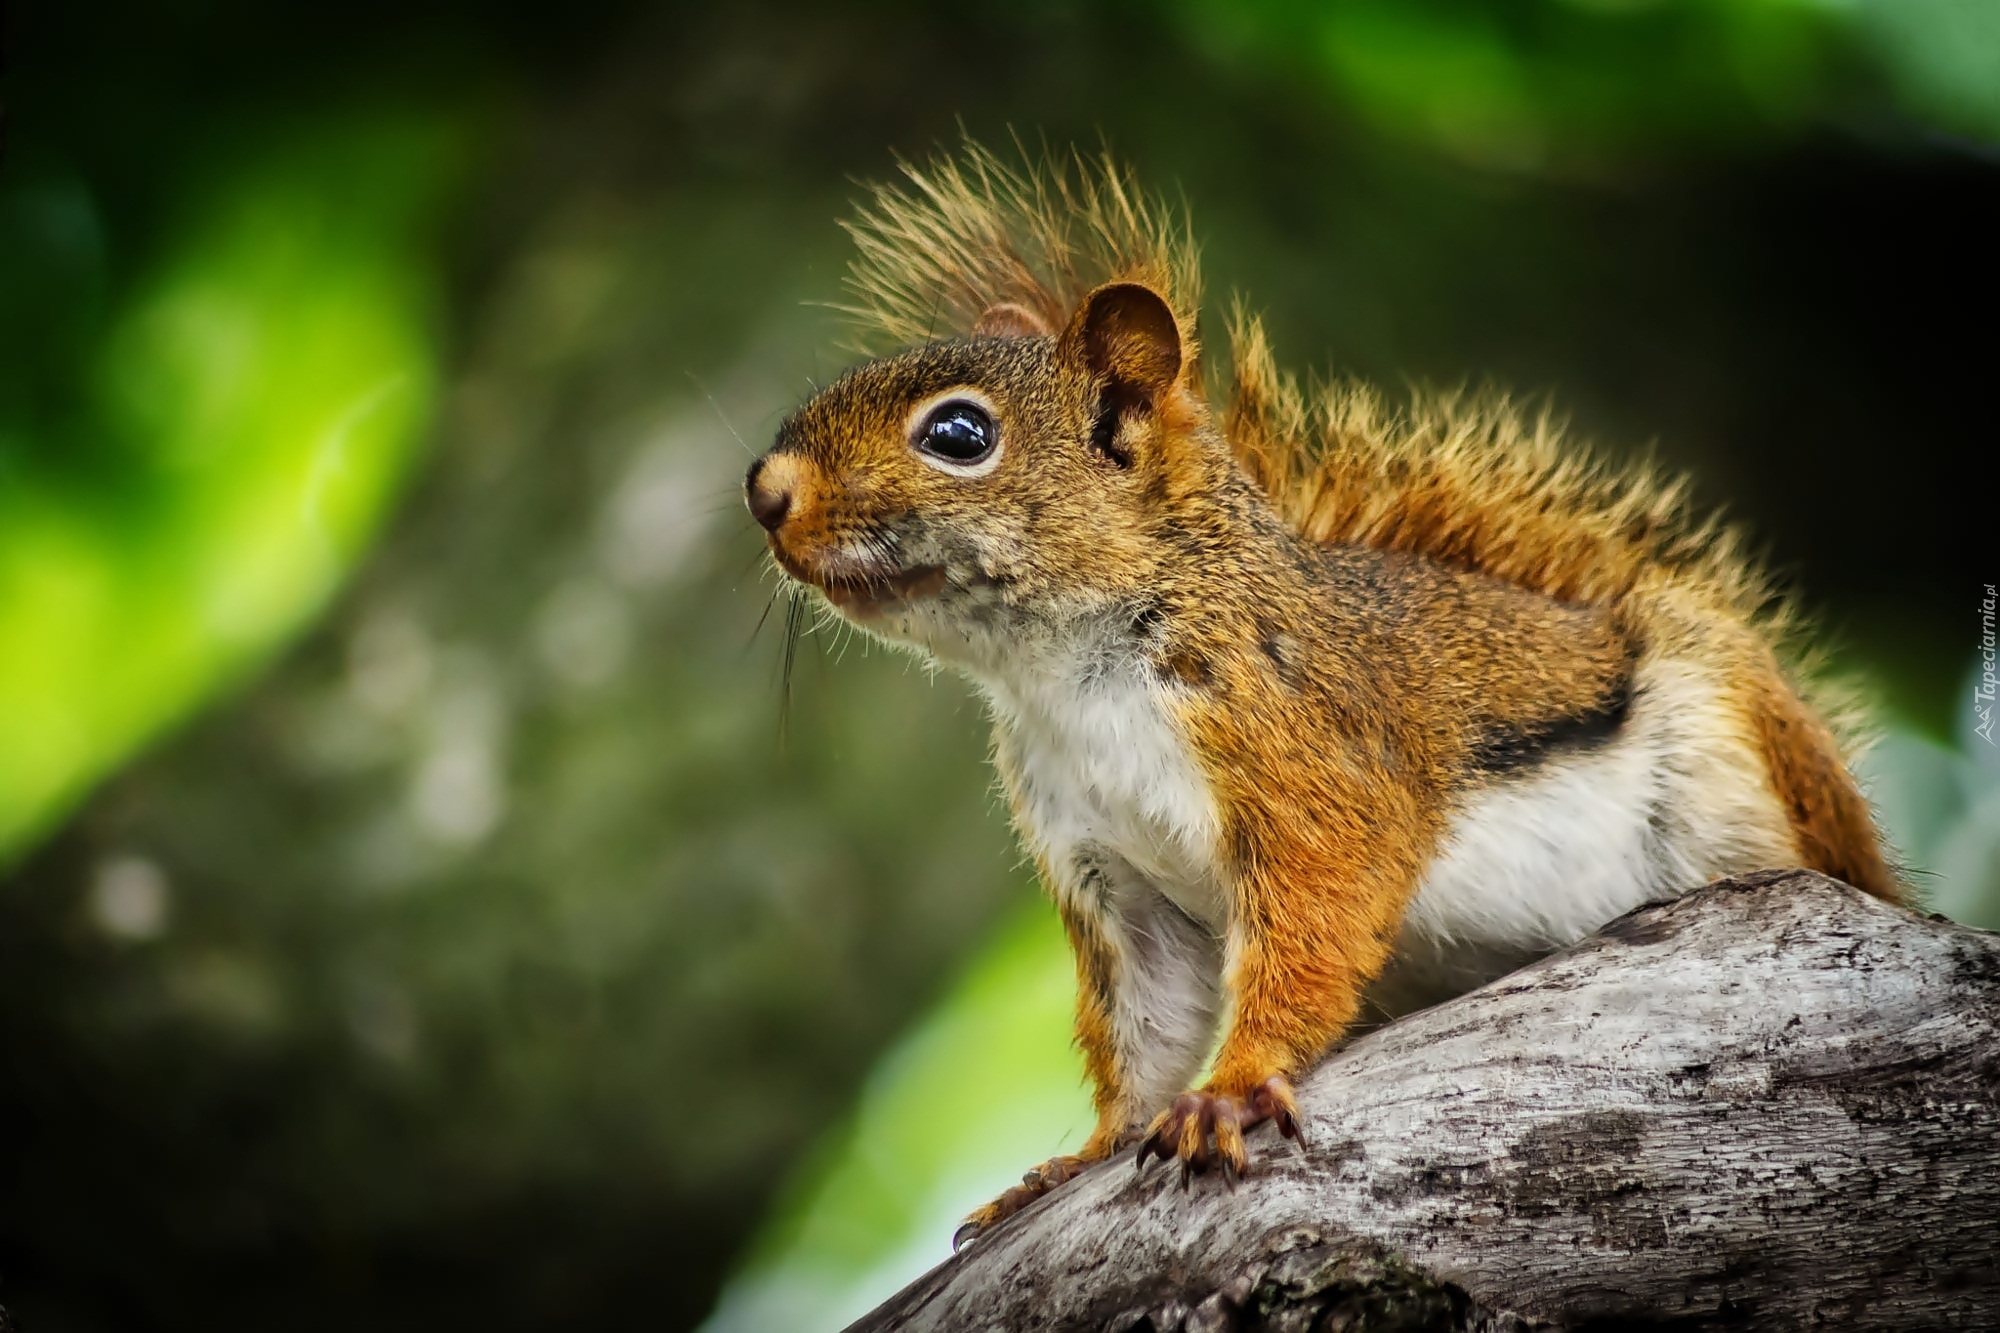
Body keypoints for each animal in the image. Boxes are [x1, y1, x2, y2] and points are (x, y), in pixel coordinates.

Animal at [744, 143, 1896, 1248]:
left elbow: (1310, 931)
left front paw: (1234, 1087)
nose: (764, 492)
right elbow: (1144, 1027)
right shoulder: (1109, 871)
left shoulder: (1307, 765)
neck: (1067, 675)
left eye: (957, 436)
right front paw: (1078, 1157)